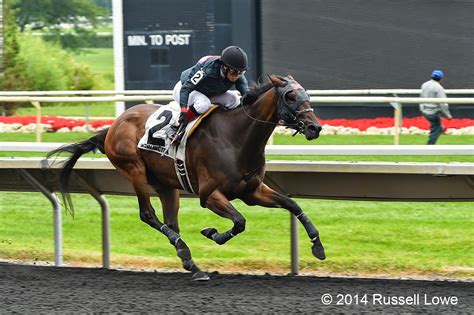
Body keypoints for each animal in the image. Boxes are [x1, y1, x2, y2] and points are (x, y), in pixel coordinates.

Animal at [47, 74, 326, 282]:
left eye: (306, 94)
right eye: (290, 96)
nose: (315, 127)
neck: (237, 136)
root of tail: (114, 125)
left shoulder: (252, 190)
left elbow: (292, 204)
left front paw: (317, 245)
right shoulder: (209, 194)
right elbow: (239, 221)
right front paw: (212, 233)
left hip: (166, 184)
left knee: (171, 222)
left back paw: (191, 262)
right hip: (133, 169)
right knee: (148, 214)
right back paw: (184, 251)